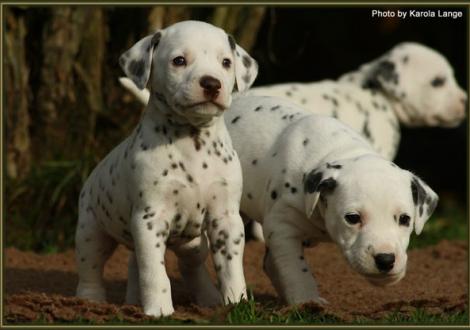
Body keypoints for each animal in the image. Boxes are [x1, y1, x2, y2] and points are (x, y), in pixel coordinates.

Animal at [74, 20, 258, 318]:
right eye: (179, 60)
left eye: (226, 62)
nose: (212, 83)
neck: (193, 140)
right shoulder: (149, 220)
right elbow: (154, 271)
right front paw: (159, 310)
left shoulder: (226, 219)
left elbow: (230, 266)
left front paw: (237, 304)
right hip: (92, 230)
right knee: (92, 266)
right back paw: (92, 300)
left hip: (193, 243)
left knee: (184, 266)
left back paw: (205, 298)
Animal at [222, 94, 438, 304]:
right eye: (352, 218)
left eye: (405, 219)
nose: (385, 259)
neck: (340, 150)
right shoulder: (281, 228)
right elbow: (295, 270)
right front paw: (307, 301)